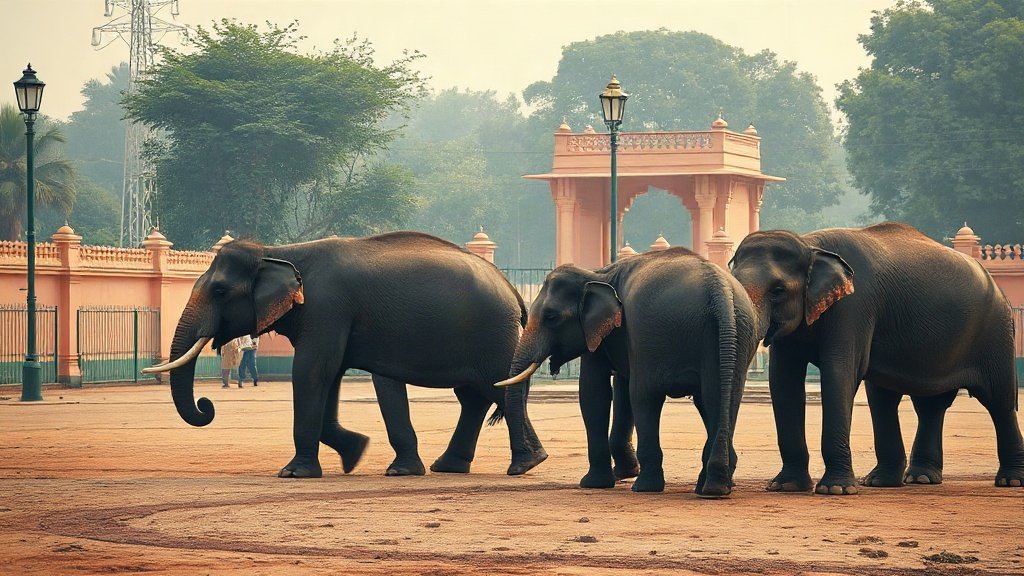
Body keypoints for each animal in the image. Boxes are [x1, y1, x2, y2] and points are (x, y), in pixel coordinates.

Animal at [143, 232, 548, 478]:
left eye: (220, 291)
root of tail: (513, 289)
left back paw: (525, 465)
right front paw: (356, 452)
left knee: (495, 389)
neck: (279, 252)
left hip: (491, 334)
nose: (207, 405)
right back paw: (453, 466)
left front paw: (293, 474)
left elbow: (311, 372)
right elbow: (330, 375)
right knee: (474, 396)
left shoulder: (327, 308)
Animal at [498, 247, 759, 496]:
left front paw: (593, 484)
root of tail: (719, 290)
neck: (597, 273)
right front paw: (622, 473)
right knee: (719, 397)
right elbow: (621, 388)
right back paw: (714, 487)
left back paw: (647, 487)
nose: (524, 466)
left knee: (646, 395)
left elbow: (595, 393)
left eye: (551, 317)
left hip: (653, 336)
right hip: (734, 335)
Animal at [729, 222, 1024, 495]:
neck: (809, 244)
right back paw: (904, 480)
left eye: (777, 290)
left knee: (999, 400)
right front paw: (785, 486)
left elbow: (840, 374)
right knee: (916, 403)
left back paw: (1010, 481)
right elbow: (783, 381)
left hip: (996, 332)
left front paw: (835, 490)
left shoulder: (854, 306)